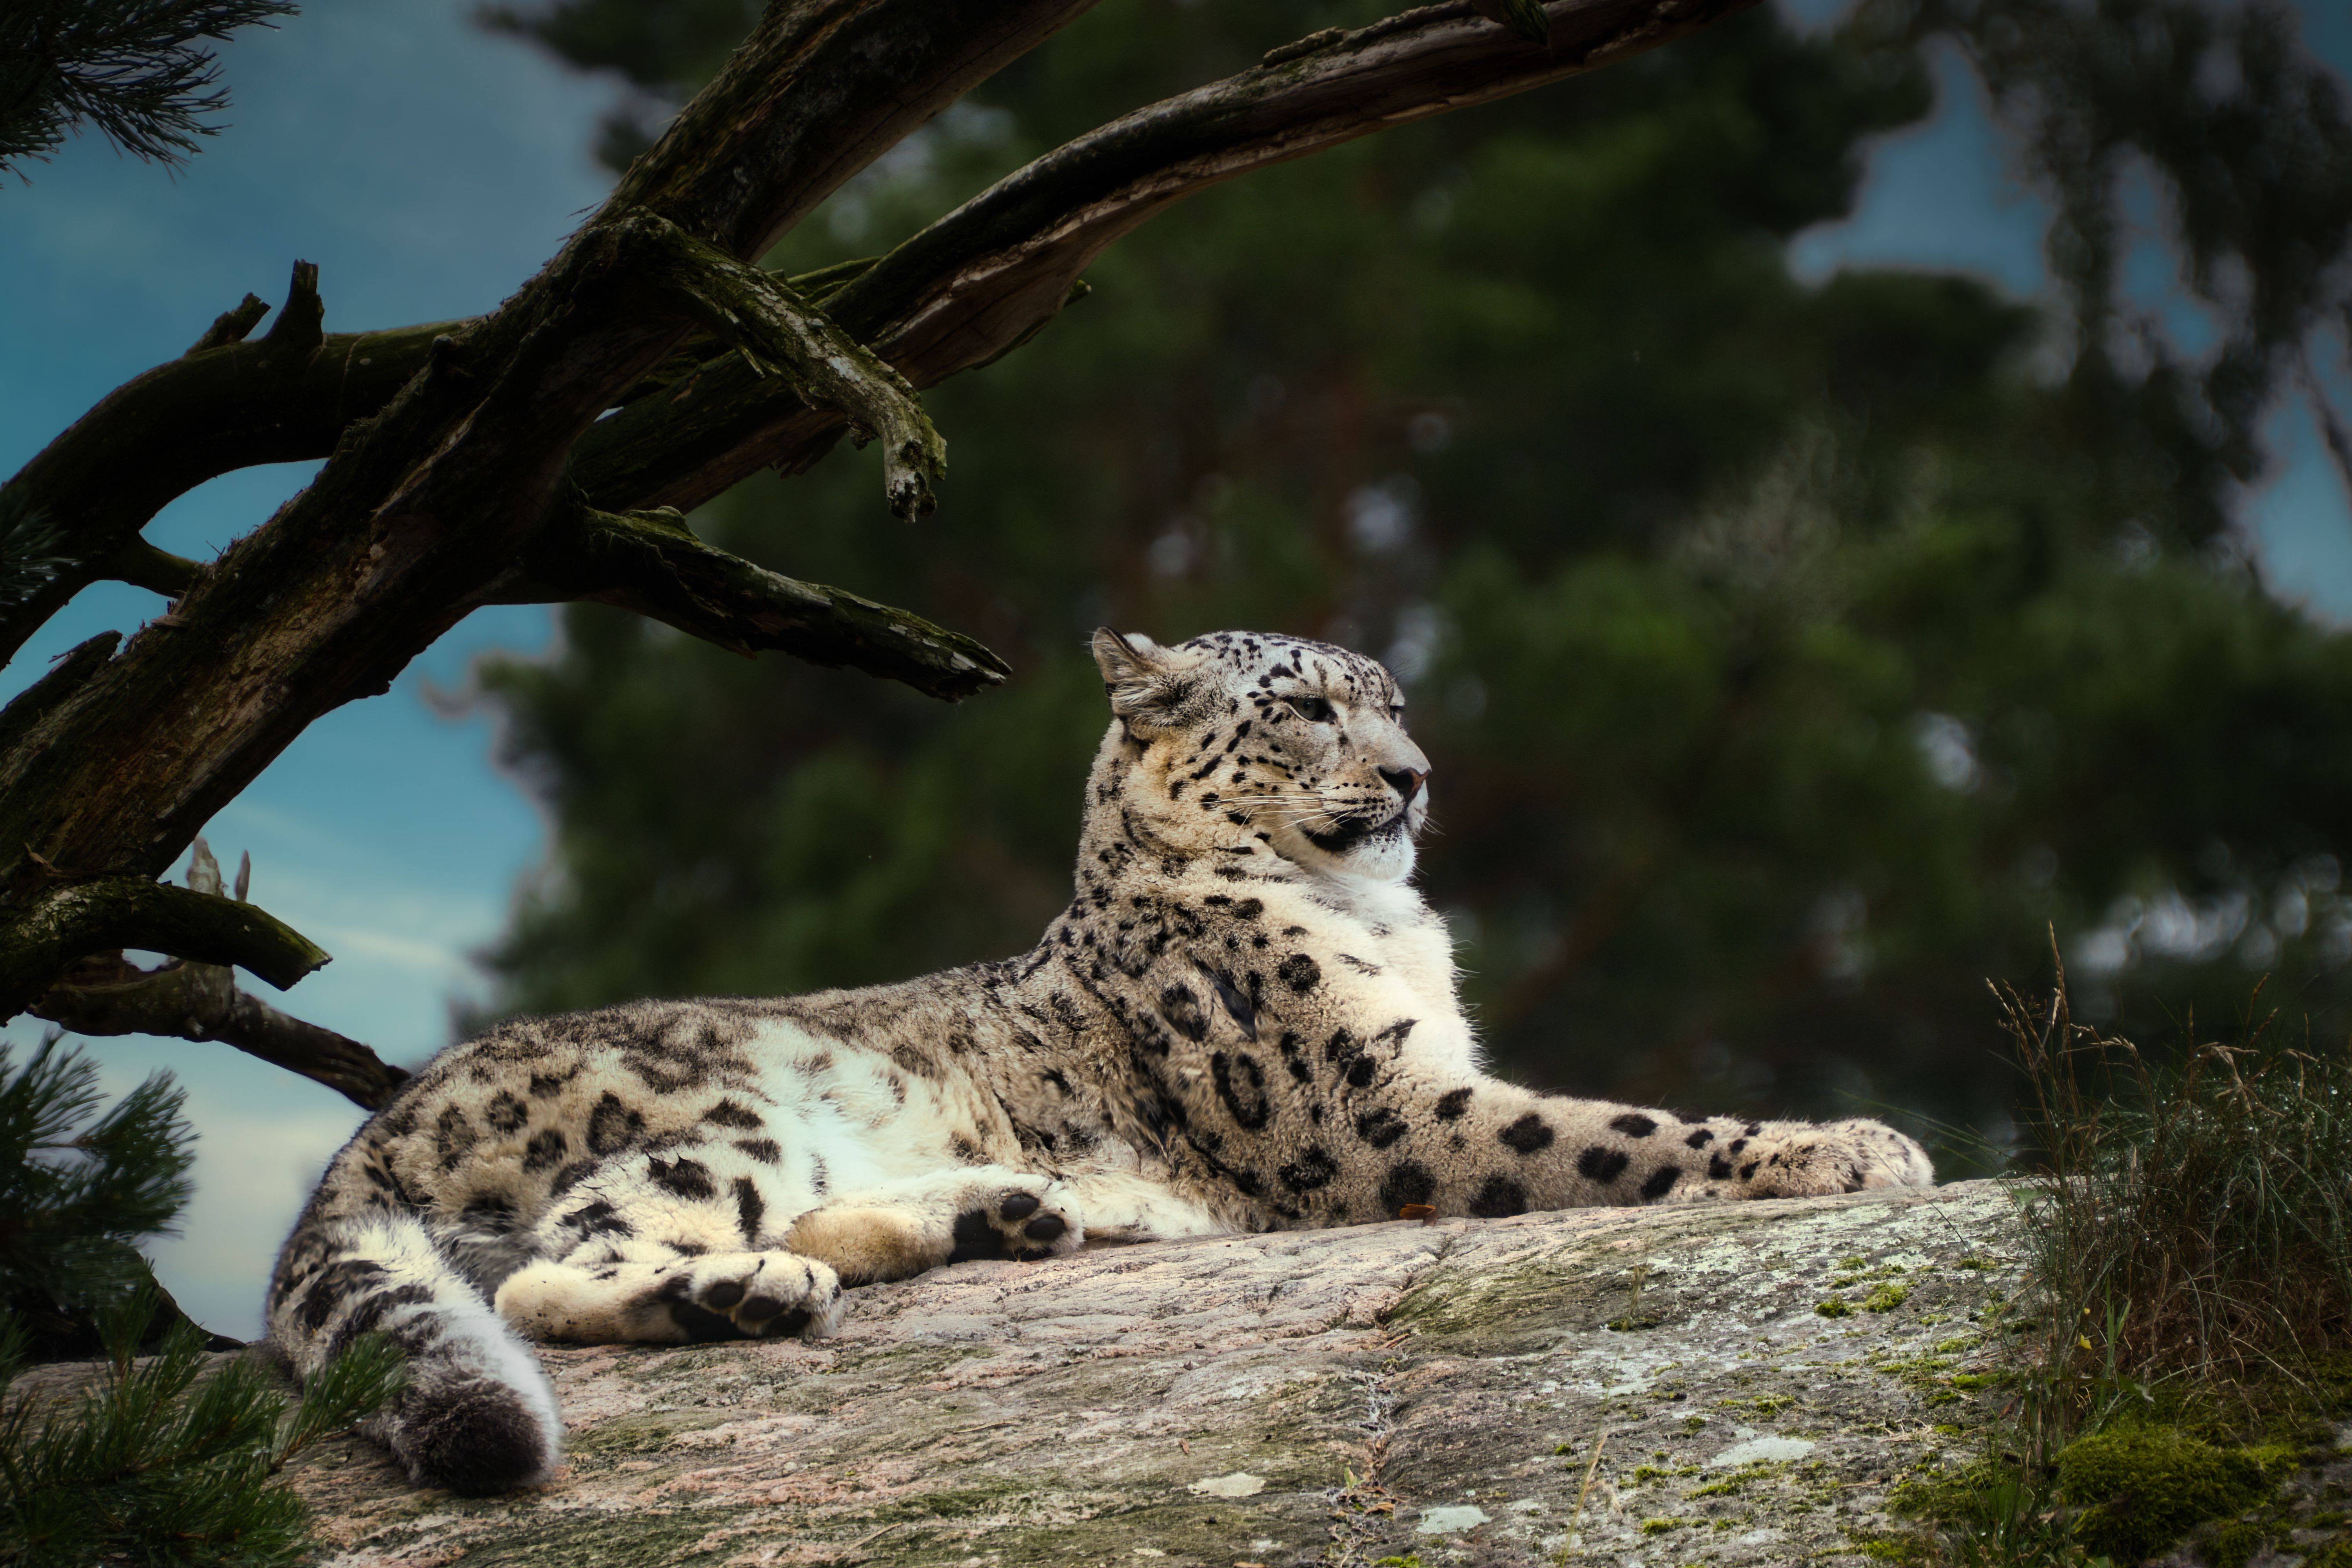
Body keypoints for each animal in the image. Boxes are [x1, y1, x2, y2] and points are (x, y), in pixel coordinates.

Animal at [266, 627, 1933, 1494]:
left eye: (1394, 704)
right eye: (1305, 707)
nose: (1413, 776)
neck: (1388, 928)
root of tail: (383, 1116)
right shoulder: (1374, 1108)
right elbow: (1604, 1130)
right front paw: (1844, 1143)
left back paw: (1008, 1210)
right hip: (719, 1108)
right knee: (563, 1263)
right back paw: (744, 1293)